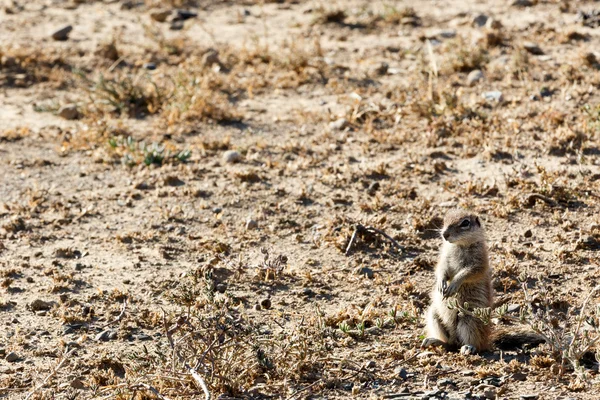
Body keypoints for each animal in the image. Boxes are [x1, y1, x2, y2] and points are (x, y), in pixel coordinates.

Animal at [422, 208, 492, 354]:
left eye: (465, 223)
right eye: (444, 220)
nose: (445, 234)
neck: (459, 245)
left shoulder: (479, 262)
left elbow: (468, 272)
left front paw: (454, 284)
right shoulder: (444, 258)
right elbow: (441, 268)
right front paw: (441, 283)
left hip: (469, 319)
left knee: (475, 344)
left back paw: (468, 347)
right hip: (434, 314)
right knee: (449, 344)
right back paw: (434, 341)